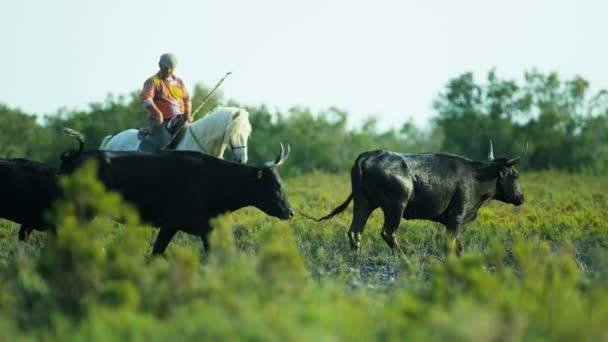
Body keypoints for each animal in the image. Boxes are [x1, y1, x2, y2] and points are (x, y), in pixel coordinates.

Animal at [60, 130, 294, 255]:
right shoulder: (170, 224)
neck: (212, 178)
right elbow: (156, 254)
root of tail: (74, 157)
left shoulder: (206, 229)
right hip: (81, 212)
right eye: (275, 186)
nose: (290, 212)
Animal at [314, 141, 528, 256]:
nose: (521, 197)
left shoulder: (455, 221)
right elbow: (451, 244)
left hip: (363, 203)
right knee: (388, 233)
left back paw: (356, 260)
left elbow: (459, 245)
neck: (477, 175)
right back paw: (405, 257)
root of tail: (369, 155)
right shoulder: (456, 217)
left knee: (355, 232)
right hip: (395, 207)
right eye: (515, 175)